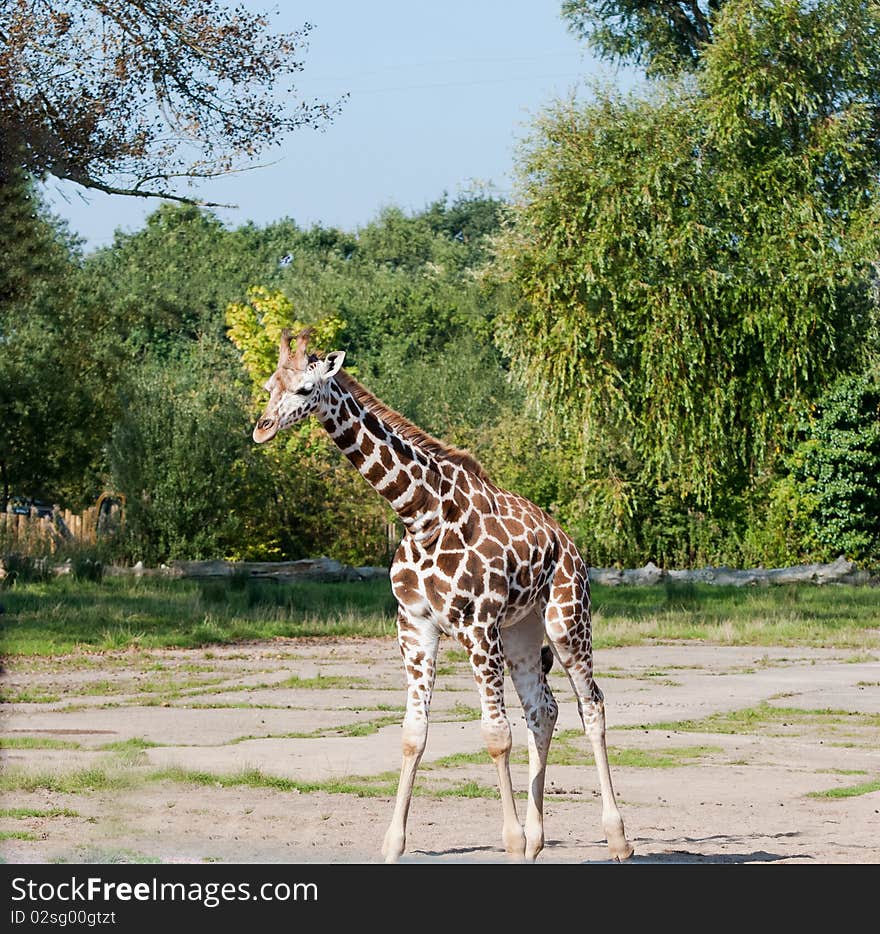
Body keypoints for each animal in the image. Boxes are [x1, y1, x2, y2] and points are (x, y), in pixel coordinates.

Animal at [253, 328, 632, 864]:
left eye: (305, 389)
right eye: (269, 385)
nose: (262, 429)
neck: (421, 514)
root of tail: (568, 542)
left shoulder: (477, 626)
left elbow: (495, 735)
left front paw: (511, 842)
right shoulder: (415, 626)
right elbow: (413, 734)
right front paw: (393, 845)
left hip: (566, 620)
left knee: (591, 706)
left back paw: (617, 838)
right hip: (522, 631)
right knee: (544, 711)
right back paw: (538, 840)